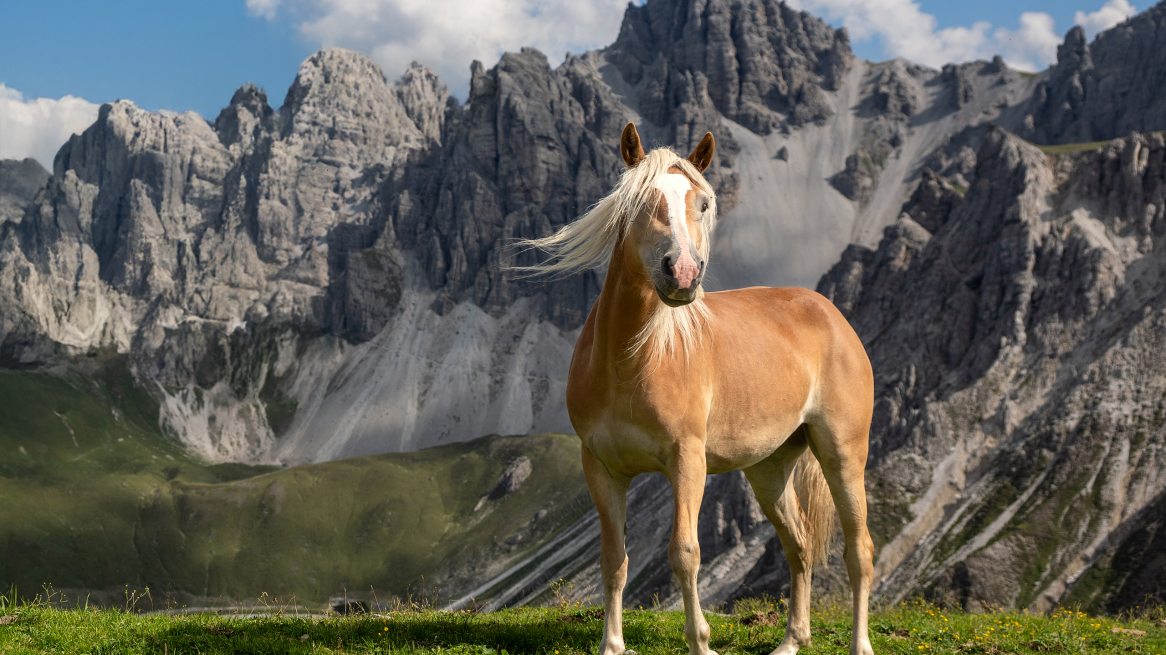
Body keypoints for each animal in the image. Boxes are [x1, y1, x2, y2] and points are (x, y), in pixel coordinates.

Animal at [520, 123, 874, 655]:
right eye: (640, 200)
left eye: (703, 203)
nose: (683, 273)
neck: (632, 362)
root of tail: (831, 314)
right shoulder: (601, 469)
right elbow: (614, 559)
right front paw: (612, 645)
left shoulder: (688, 461)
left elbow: (685, 552)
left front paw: (701, 641)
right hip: (770, 469)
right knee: (800, 546)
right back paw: (792, 641)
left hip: (843, 454)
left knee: (859, 551)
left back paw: (859, 643)